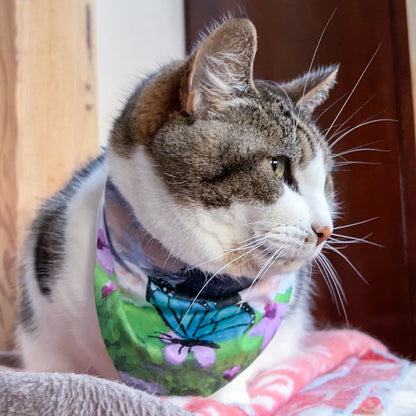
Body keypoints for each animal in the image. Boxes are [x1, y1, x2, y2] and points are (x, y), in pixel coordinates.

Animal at [16, 17, 338, 404]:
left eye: (326, 181)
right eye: (277, 166)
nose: (325, 230)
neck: (193, 281)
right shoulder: (41, 310)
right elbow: (48, 362)